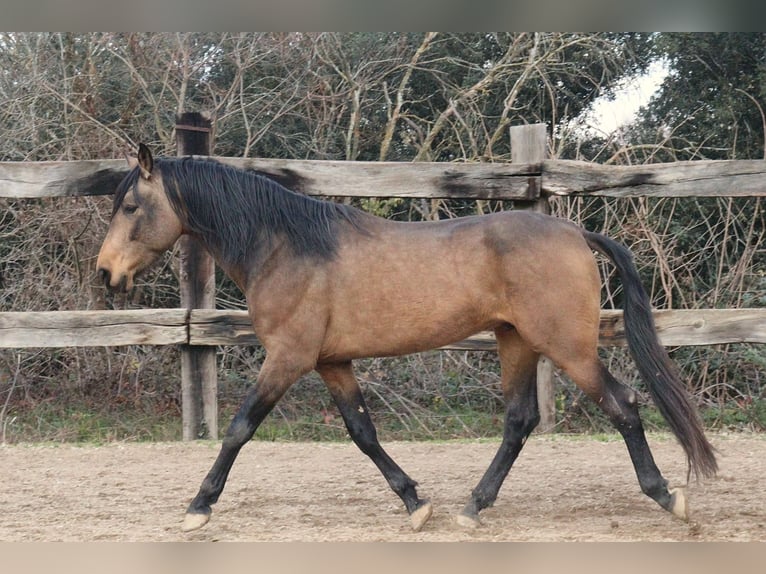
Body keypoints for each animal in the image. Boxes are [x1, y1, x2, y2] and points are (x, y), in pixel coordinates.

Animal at [96, 144, 717, 533]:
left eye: (129, 205)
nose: (106, 274)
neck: (286, 247)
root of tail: (573, 231)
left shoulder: (288, 358)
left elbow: (239, 429)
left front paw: (197, 507)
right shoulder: (331, 361)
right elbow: (363, 433)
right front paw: (416, 503)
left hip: (566, 347)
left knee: (623, 403)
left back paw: (668, 497)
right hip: (515, 342)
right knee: (520, 420)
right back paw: (472, 507)